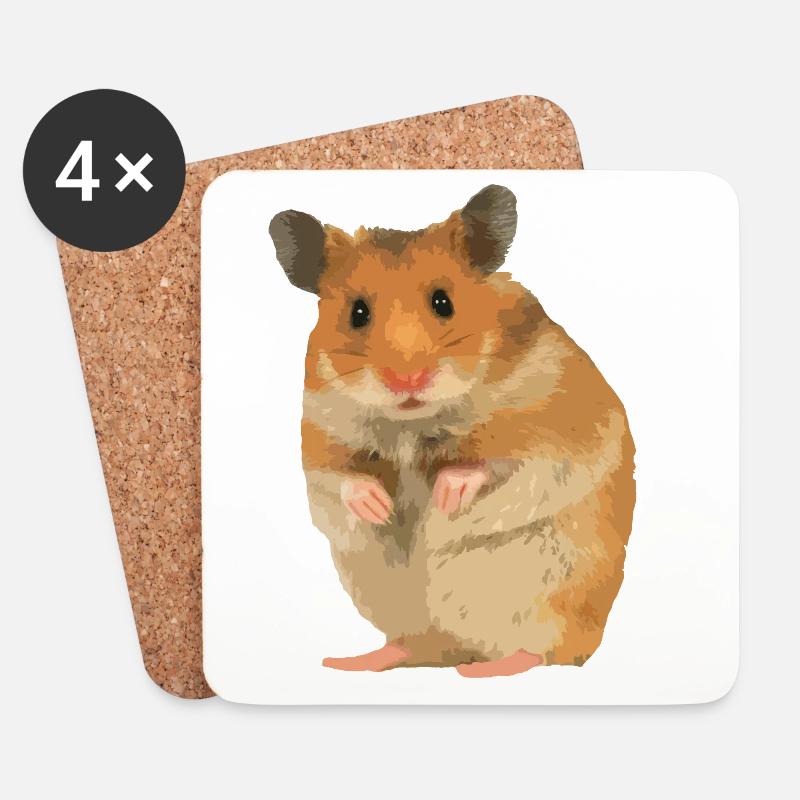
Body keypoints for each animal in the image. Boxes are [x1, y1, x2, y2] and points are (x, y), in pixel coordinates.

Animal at [269, 184, 635, 677]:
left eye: (444, 302)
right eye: (357, 313)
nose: (406, 380)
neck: (413, 421)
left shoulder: (554, 429)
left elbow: (497, 464)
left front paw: (444, 497)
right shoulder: (320, 434)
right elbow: (340, 478)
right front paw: (379, 507)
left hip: (549, 598)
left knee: (544, 652)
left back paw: (483, 670)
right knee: (416, 646)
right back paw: (349, 662)